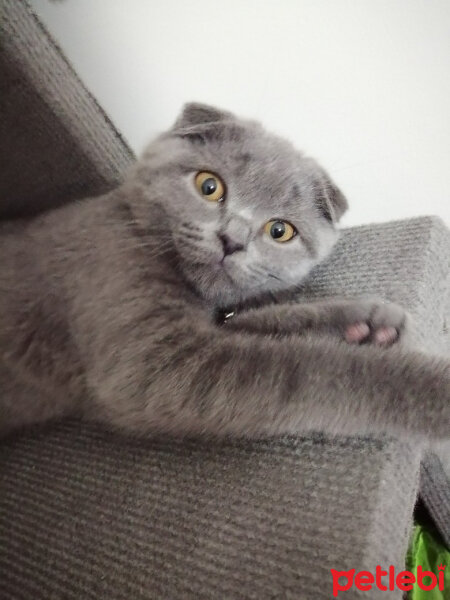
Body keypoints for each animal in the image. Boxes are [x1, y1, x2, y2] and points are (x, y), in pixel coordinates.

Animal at [0, 103, 448, 438]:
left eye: (280, 231)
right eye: (209, 186)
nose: (232, 240)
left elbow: (270, 322)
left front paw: (369, 323)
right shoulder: (152, 363)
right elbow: (311, 368)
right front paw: (433, 391)